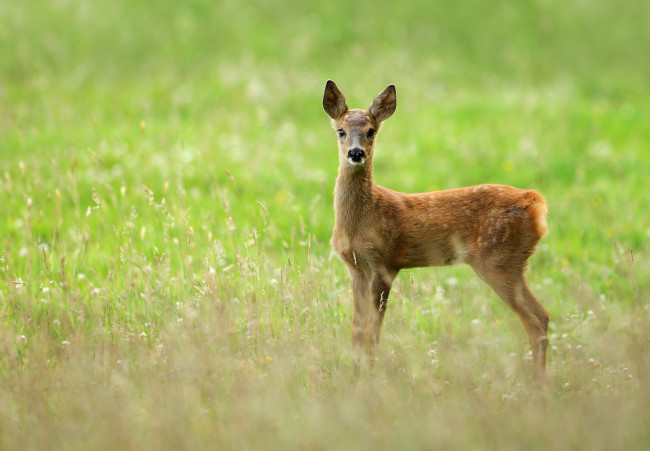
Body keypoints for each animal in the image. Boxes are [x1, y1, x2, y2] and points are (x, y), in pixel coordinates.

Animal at [322, 79, 548, 380]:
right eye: (341, 131)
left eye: (371, 131)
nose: (356, 153)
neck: (361, 220)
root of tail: (537, 202)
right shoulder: (356, 268)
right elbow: (357, 331)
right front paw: (354, 378)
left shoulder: (384, 264)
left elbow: (372, 334)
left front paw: (368, 380)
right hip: (510, 262)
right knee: (543, 316)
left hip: (498, 260)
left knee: (535, 322)